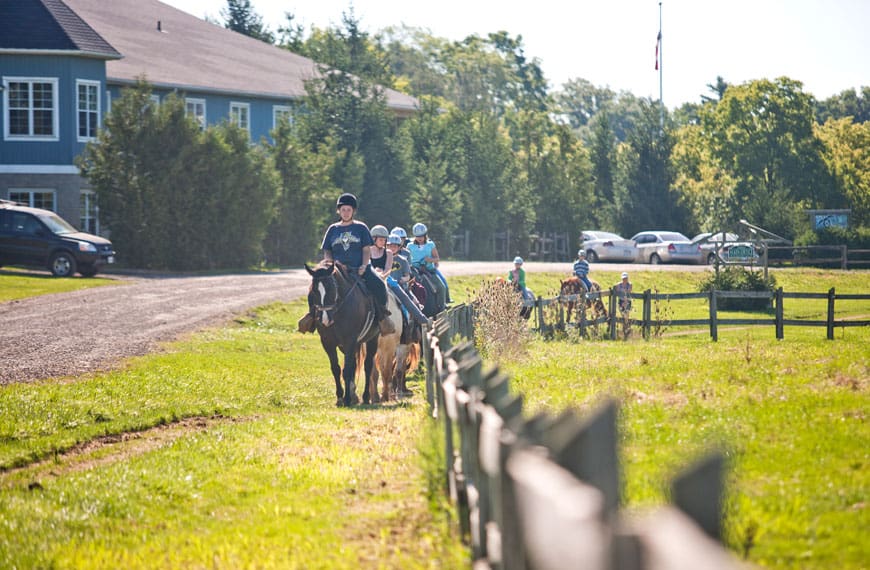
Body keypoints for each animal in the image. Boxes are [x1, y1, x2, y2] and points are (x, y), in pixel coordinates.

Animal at [306, 262, 382, 404]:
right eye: (314, 290)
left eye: (331, 288)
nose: (325, 319)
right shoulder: (327, 342)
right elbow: (336, 369)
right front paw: (340, 396)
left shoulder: (349, 341)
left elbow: (346, 370)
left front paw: (346, 399)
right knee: (354, 365)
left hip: (372, 339)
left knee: (368, 366)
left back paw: (365, 396)